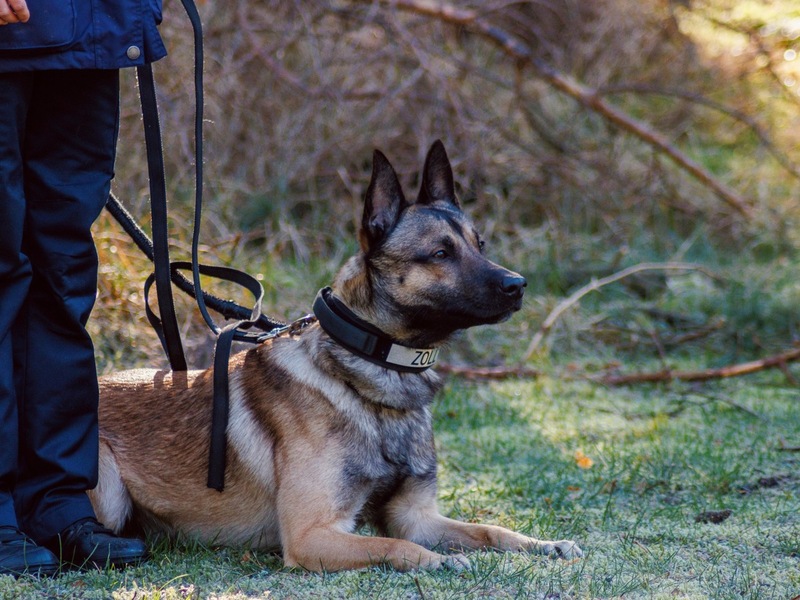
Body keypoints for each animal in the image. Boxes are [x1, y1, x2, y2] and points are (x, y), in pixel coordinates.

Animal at [90, 141, 583, 572]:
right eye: (441, 253)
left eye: (480, 246)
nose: (518, 285)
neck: (373, 372)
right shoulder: (313, 535)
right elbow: (394, 545)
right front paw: (439, 560)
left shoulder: (417, 518)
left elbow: (488, 530)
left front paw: (542, 543)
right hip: (110, 492)